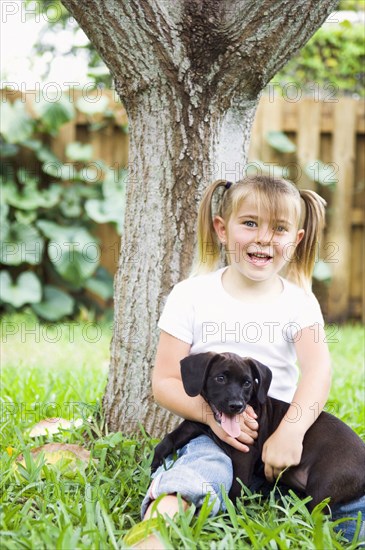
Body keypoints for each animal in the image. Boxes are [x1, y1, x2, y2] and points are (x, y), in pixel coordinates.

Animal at [151, 354, 364, 512]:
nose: (237, 406)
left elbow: (235, 491)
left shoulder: (244, 455)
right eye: (220, 378)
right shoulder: (199, 422)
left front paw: (230, 519)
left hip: (323, 489)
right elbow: (172, 437)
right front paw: (154, 463)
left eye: (247, 383)